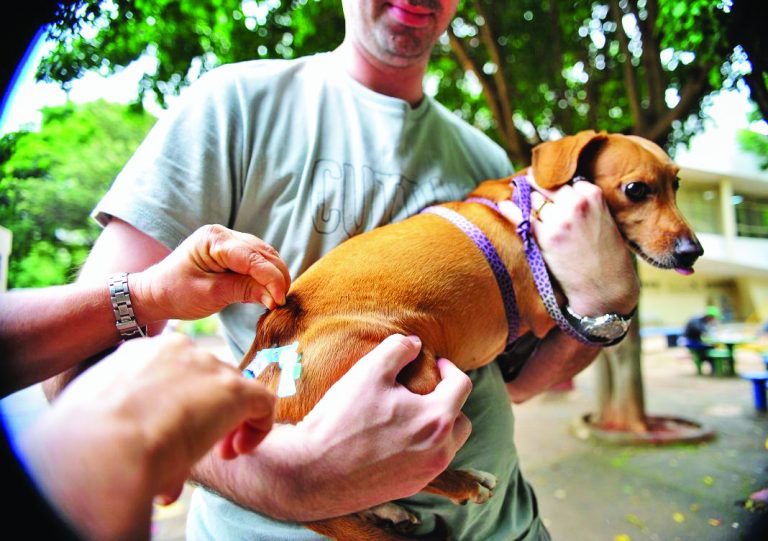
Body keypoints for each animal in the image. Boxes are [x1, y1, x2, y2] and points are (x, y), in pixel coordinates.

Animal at [238, 129, 704, 536]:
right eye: (636, 189)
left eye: (677, 184)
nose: (693, 251)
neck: (528, 202)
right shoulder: (546, 311)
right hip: (416, 371)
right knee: (401, 472)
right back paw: (463, 483)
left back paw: (388, 510)